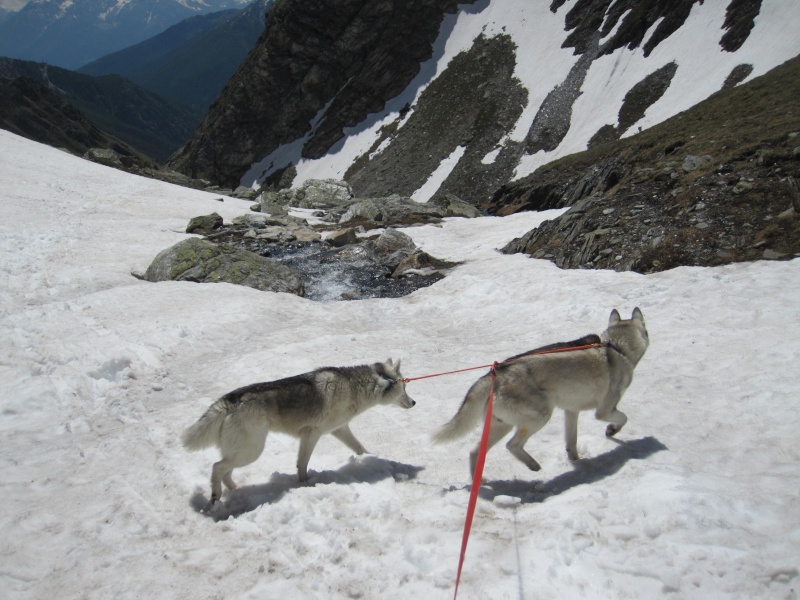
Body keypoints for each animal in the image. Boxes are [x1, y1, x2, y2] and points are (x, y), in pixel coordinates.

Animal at [184, 358, 416, 504]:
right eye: (404, 388)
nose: (414, 402)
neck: (356, 387)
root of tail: (232, 399)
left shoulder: (339, 429)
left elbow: (360, 448)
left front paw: (371, 460)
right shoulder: (312, 433)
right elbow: (302, 464)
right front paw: (305, 484)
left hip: (242, 451)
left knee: (225, 471)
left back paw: (235, 489)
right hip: (251, 451)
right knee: (216, 467)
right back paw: (215, 497)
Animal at [432, 310, 648, 478]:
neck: (616, 348)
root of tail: (495, 373)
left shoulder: (571, 411)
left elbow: (571, 441)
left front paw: (576, 460)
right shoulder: (605, 410)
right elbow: (623, 418)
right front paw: (612, 430)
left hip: (501, 425)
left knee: (474, 452)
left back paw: (481, 484)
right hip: (541, 414)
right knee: (512, 445)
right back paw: (533, 465)